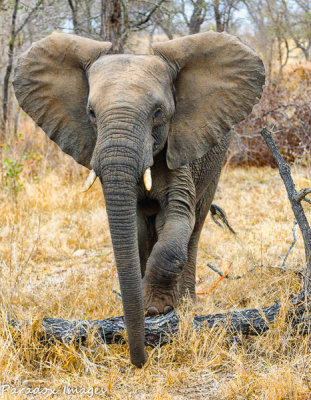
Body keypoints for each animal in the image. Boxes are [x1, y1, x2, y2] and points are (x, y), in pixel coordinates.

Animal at [12, 31, 266, 368]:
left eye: (158, 112)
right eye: (91, 113)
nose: (140, 361)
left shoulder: (179, 149)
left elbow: (176, 222)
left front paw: (156, 310)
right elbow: (133, 227)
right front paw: (147, 308)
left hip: (214, 160)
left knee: (195, 227)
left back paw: (187, 305)